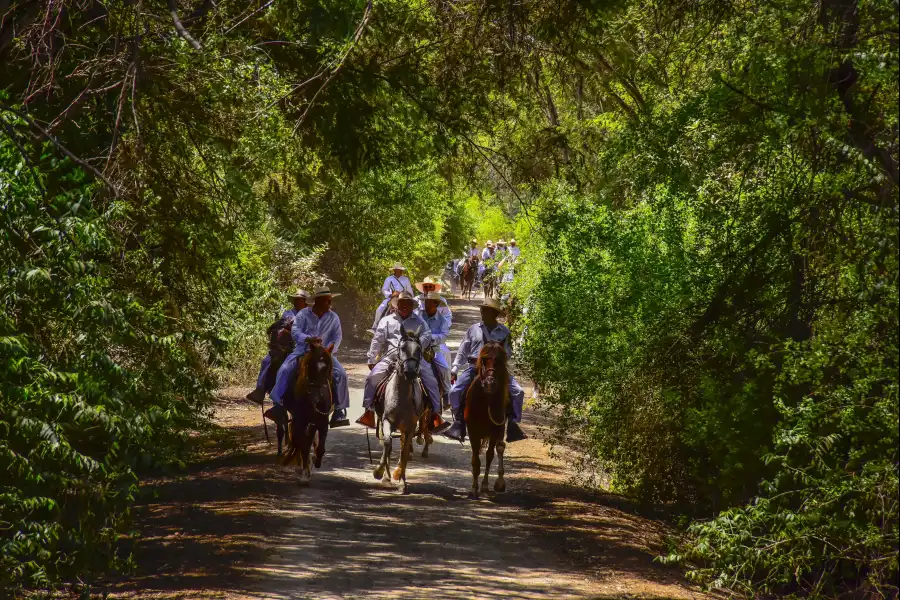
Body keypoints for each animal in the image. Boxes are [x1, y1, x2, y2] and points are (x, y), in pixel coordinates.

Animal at [284, 342, 332, 482]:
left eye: (327, 367)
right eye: (310, 366)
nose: (317, 398)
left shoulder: (322, 421)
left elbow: (320, 447)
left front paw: (316, 460)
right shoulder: (301, 420)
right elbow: (303, 445)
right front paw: (305, 474)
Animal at [468, 340, 510, 500]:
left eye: (499, 361)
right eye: (484, 360)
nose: (489, 383)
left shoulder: (494, 430)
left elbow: (489, 456)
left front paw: (486, 486)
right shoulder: (472, 431)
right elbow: (475, 460)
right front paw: (474, 489)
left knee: (498, 448)